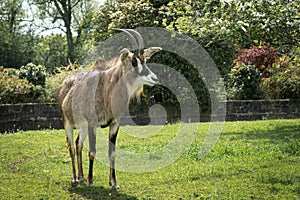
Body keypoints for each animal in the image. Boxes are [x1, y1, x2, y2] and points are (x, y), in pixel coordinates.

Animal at [58, 28, 162, 189]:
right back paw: (75, 178)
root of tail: (65, 83)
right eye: (134, 61)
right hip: (67, 123)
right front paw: (91, 181)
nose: (154, 78)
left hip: (83, 127)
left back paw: (81, 176)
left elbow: (112, 152)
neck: (107, 88)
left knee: (78, 144)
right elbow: (92, 151)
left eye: (145, 60)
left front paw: (113, 182)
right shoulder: (93, 124)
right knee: (71, 147)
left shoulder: (114, 124)